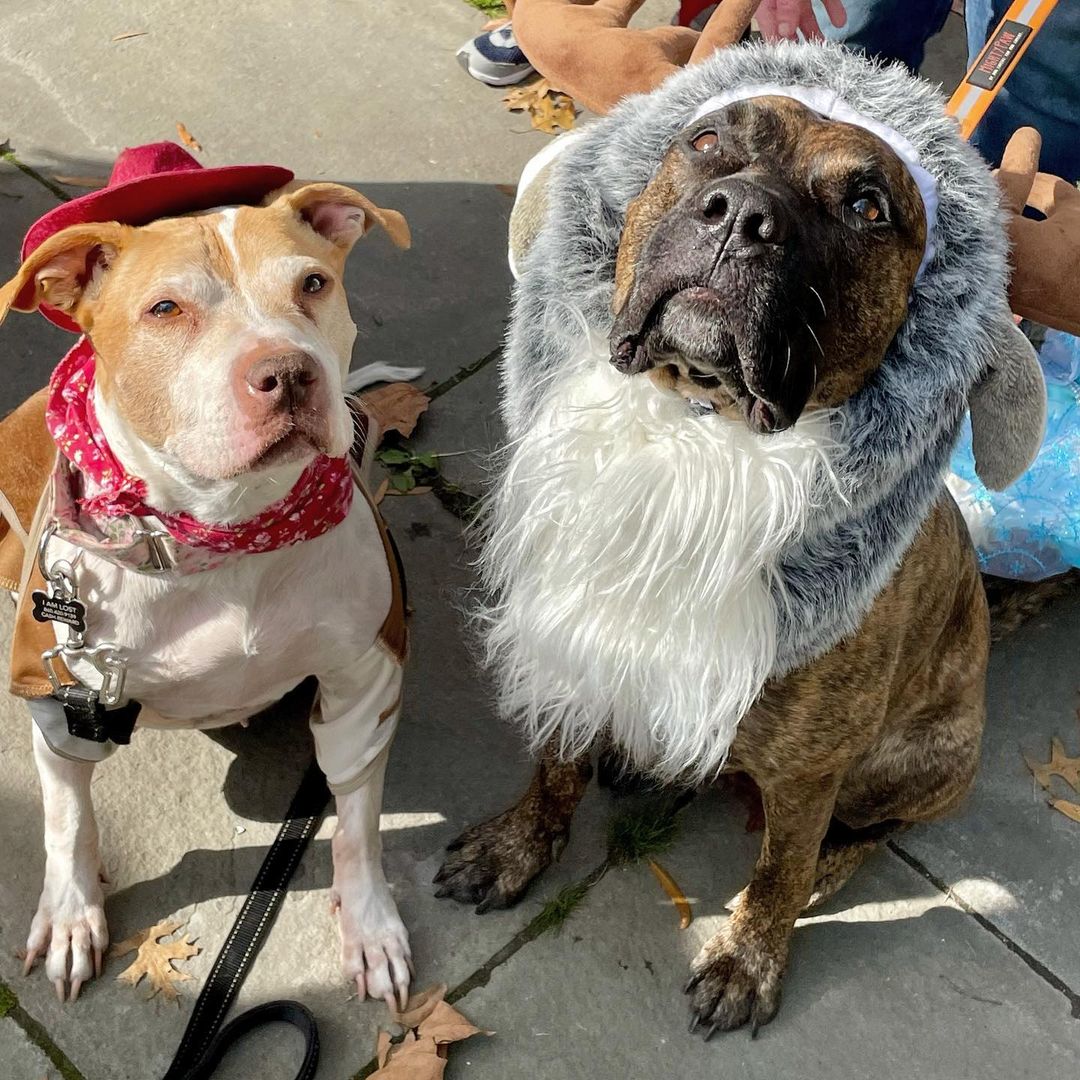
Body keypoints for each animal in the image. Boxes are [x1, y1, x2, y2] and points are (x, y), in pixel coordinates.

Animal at [0, 156, 416, 1006]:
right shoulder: (56, 698)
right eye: (166, 308)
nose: (288, 373)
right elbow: (67, 818)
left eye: (314, 284)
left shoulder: (368, 673)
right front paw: (71, 915)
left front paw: (369, 923)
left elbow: (357, 818)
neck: (226, 535)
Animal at [436, 103, 989, 1036]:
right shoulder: (564, 636)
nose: (742, 215)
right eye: (706, 142)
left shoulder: (810, 769)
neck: (696, 422)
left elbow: (779, 869)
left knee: (862, 835)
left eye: (869, 206)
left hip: (920, 758)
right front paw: (519, 844)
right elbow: (554, 765)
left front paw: (748, 959)